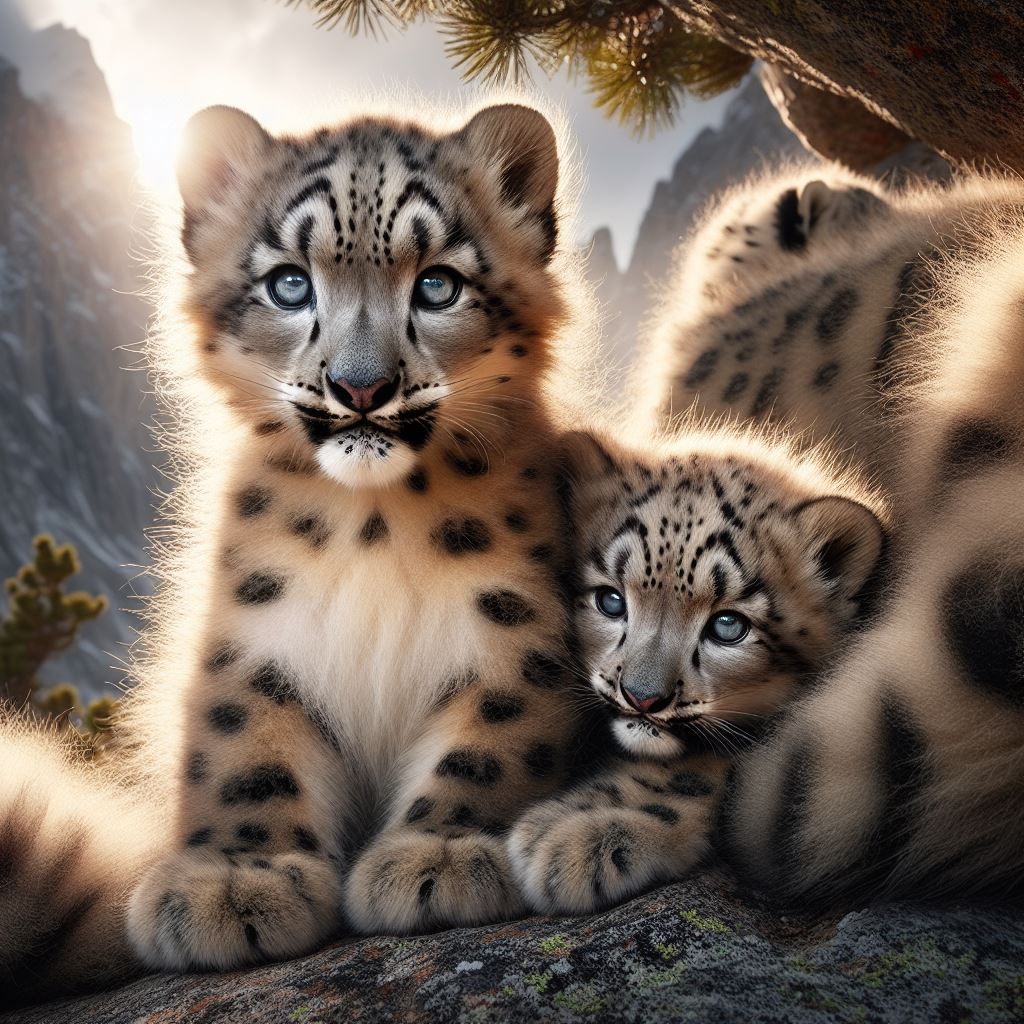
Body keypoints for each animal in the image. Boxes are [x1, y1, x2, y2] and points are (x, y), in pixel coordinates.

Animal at [0, 98, 594, 1007]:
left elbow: (496, 735)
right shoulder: (257, 627)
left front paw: (443, 854)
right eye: (289, 282)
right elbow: (245, 744)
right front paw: (235, 879)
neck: (376, 523)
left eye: (438, 283)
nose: (360, 389)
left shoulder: (514, 623)